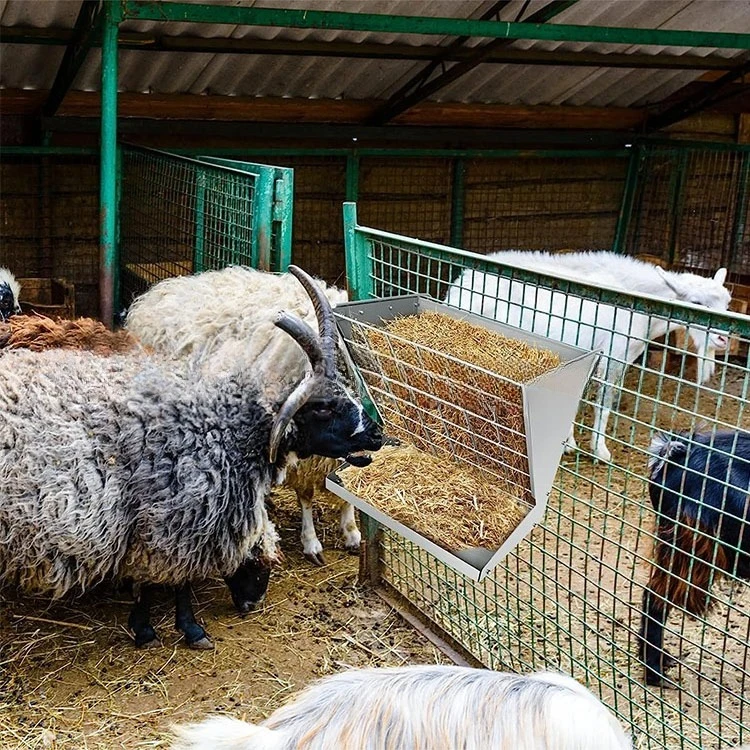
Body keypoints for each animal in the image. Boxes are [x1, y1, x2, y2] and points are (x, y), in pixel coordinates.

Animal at [445, 251, 731, 463]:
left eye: (727, 304)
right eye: (696, 303)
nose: (723, 340)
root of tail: (461, 285)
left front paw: (568, 442)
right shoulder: (614, 356)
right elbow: (604, 403)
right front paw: (600, 451)